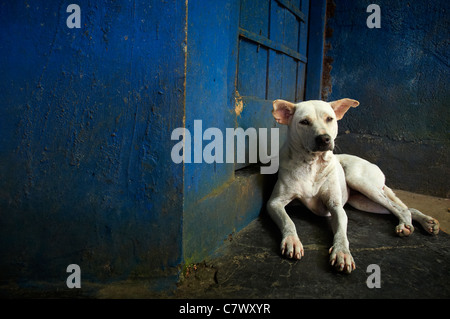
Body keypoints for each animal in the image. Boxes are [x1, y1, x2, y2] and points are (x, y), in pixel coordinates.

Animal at [268, 99, 440, 274]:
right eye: (304, 122)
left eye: (329, 119)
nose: (324, 139)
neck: (312, 165)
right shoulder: (275, 203)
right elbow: (288, 221)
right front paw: (292, 241)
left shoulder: (335, 206)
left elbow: (341, 232)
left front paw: (342, 252)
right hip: (362, 201)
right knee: (404, 208)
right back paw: (425, 222)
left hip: (359, 180)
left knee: (400, 208)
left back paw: (409, 224)